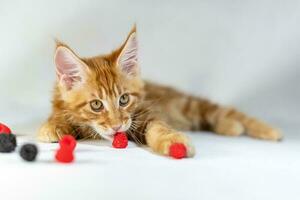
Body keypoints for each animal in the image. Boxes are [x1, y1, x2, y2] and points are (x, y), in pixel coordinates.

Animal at [37, 25, 282, 157]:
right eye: (96, 104)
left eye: (124, 99)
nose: (117, 126)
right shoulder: (59, 103)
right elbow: (58, 116)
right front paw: (52, 127)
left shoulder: (146, 114)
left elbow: (159, 128)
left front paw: (174, 142)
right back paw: (231, 127)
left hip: (188, 104)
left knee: (223, 111)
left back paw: (267, 130)